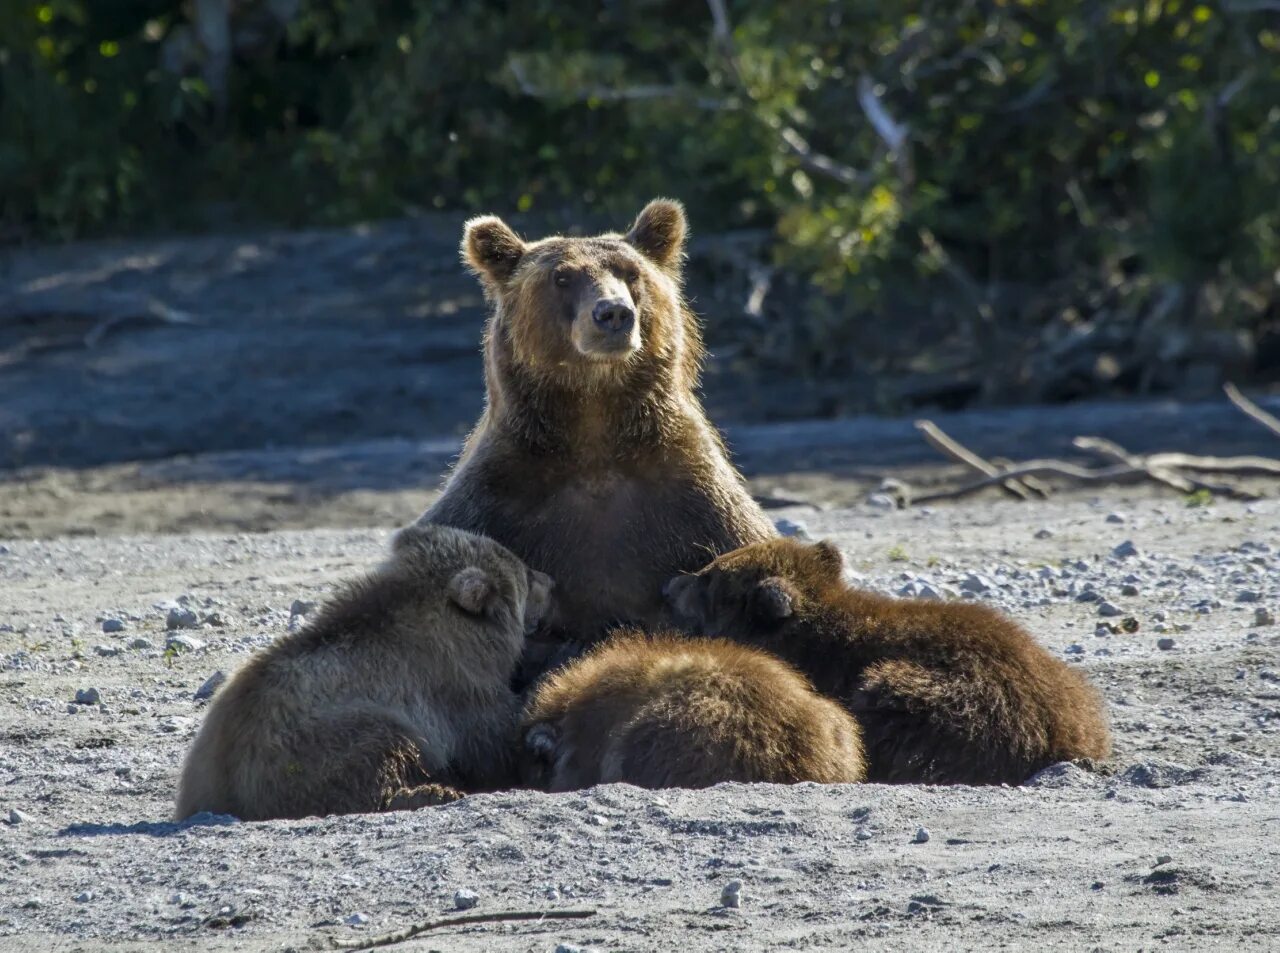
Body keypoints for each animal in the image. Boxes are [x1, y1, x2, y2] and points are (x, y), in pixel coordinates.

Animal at [409, 196, 768, 670]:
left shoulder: (695, 501)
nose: (613, 313)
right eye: (562, 277)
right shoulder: (495, 499)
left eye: (631, 273)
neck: (594, 426)